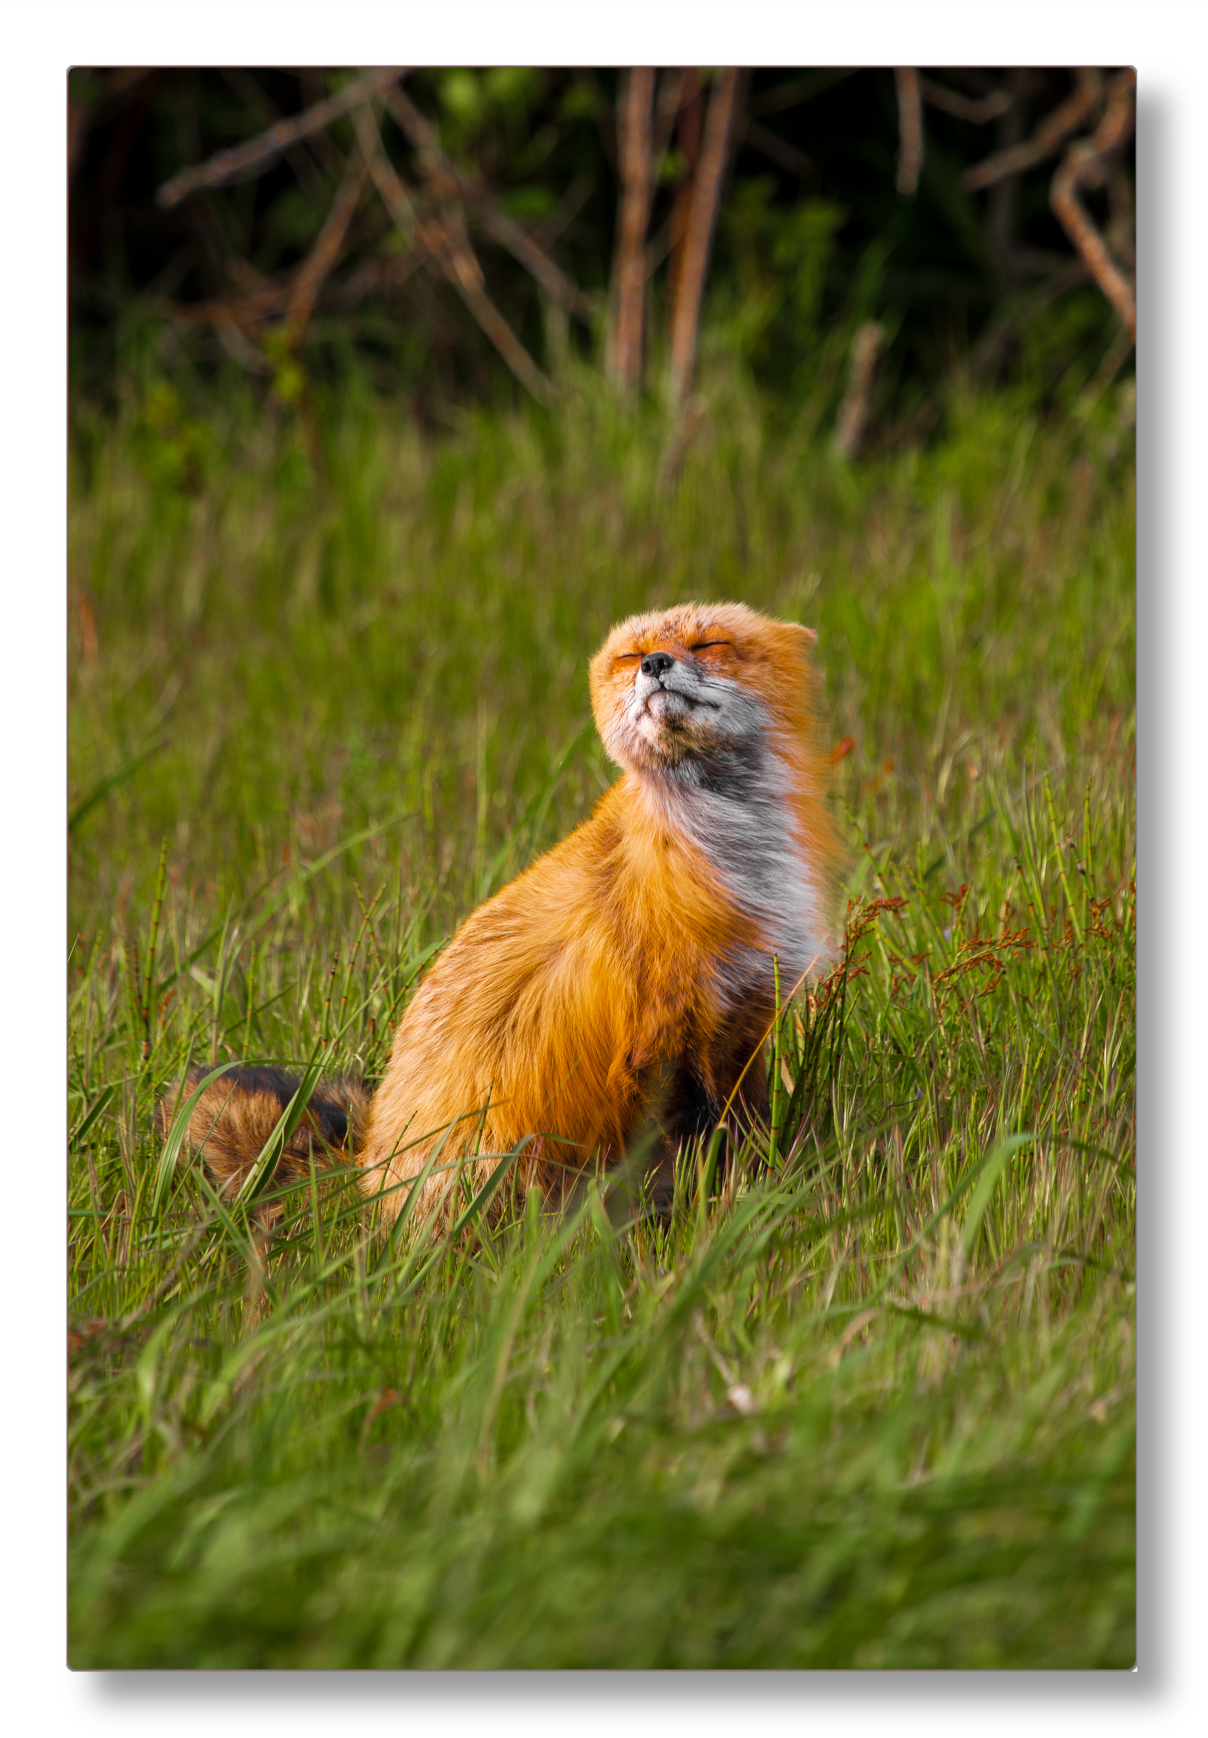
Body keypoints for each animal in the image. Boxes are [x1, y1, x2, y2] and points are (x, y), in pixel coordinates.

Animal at [160, 604, 841, 1230]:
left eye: (709, 643)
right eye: (630, 656)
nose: (654, 664)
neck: (728, 854)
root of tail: (367, 1175)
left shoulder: (743, 1019)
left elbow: (748, 1134)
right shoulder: (661, 1036)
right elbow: (700, 1151)